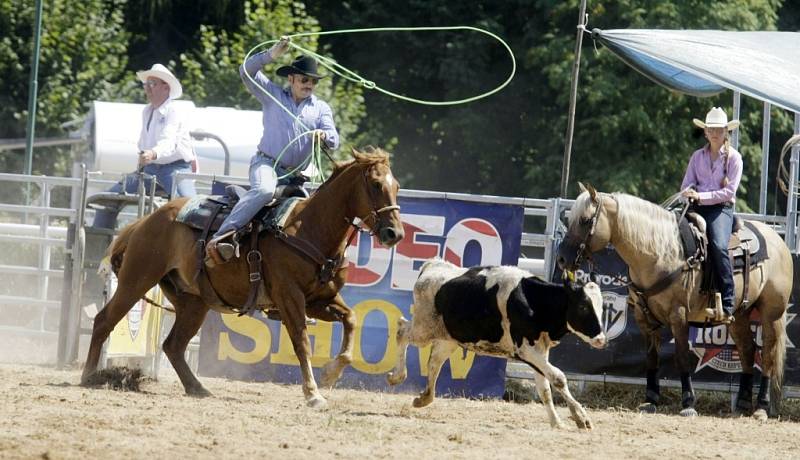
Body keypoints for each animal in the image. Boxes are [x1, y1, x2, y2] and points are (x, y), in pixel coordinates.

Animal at [82, 146, 406, 406]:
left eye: (397, 185)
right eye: (376, 184)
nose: (395, 233)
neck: (309, 229)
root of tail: (145, 221)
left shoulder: (320, 300)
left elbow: (351, 320)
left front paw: (330, 374)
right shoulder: (290, 297)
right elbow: (301, 341)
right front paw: (313, 393)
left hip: (193, 302)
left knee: (173, 345)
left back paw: (197, 388)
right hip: (136, 279)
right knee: (104, 321)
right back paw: (88, 375)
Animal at [388, 256, 608, 430]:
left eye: (602, 307)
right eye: (583, 306)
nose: (601, 339)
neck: (533, 301)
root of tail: (433, 266)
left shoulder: (540, 351)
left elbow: (545, 388)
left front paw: (557, 423)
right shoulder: (526, 350)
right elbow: (559, 378)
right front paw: (581, 417)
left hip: (447, 338)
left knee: (434, 362)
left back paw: (424, 398)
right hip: (423, 328)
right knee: (401, 330)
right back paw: (397, 376)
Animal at [560, 184, 792, 420]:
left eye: (585, 220)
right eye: (570, 220)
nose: (561, 258)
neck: (658, 253)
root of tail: (778, 241)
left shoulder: (678, 315)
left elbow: (681, 357)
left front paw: (688, 402)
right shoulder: (644, 318)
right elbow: (651, 358)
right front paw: (650, 399)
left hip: (772, 314)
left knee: (768, 356)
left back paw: (761, 408)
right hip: (739, 315)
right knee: (747, 350)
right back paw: (743, 404)